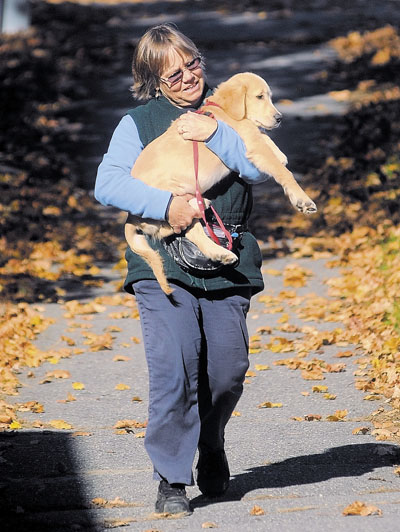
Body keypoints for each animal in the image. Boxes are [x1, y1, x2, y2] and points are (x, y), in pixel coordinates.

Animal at [125, 71, 316, 296]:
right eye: (260, 97)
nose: (279, 118)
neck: (223, 110)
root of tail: (130, 216)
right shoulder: (253, 144)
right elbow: (282, 170)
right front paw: (302, 199)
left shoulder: (253, 138)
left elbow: (265, 137)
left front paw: (280, 153)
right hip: (172, 197)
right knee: (168, 229)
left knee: (192, 231)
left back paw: (219, 248)